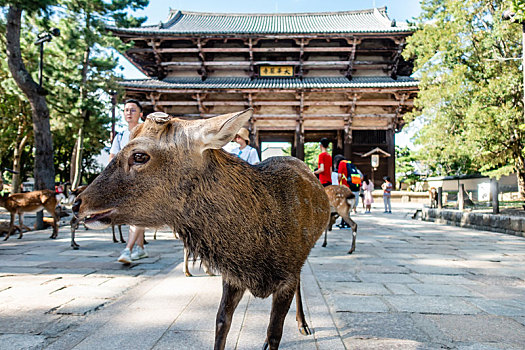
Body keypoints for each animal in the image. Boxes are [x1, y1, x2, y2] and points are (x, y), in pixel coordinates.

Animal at [74, 110, 328, 350]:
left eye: (139, 155)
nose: (77, 203)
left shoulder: (288, 273)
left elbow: (274, 333)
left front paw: (277, 335)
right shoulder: (232, 277)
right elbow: (221, 321)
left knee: (300, 283)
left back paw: (303, 324)